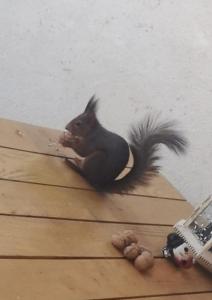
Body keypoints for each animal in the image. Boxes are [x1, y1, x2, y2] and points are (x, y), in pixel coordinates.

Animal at [59, 96, 187, 195]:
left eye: (78, 123)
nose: (66, 127)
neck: (92, 132)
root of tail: (101, 184)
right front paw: (68, 137)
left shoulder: (93, 142)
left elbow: (83, 151)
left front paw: (67, 141)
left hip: (96, 159)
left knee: (85, 173)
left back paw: (77, 164)